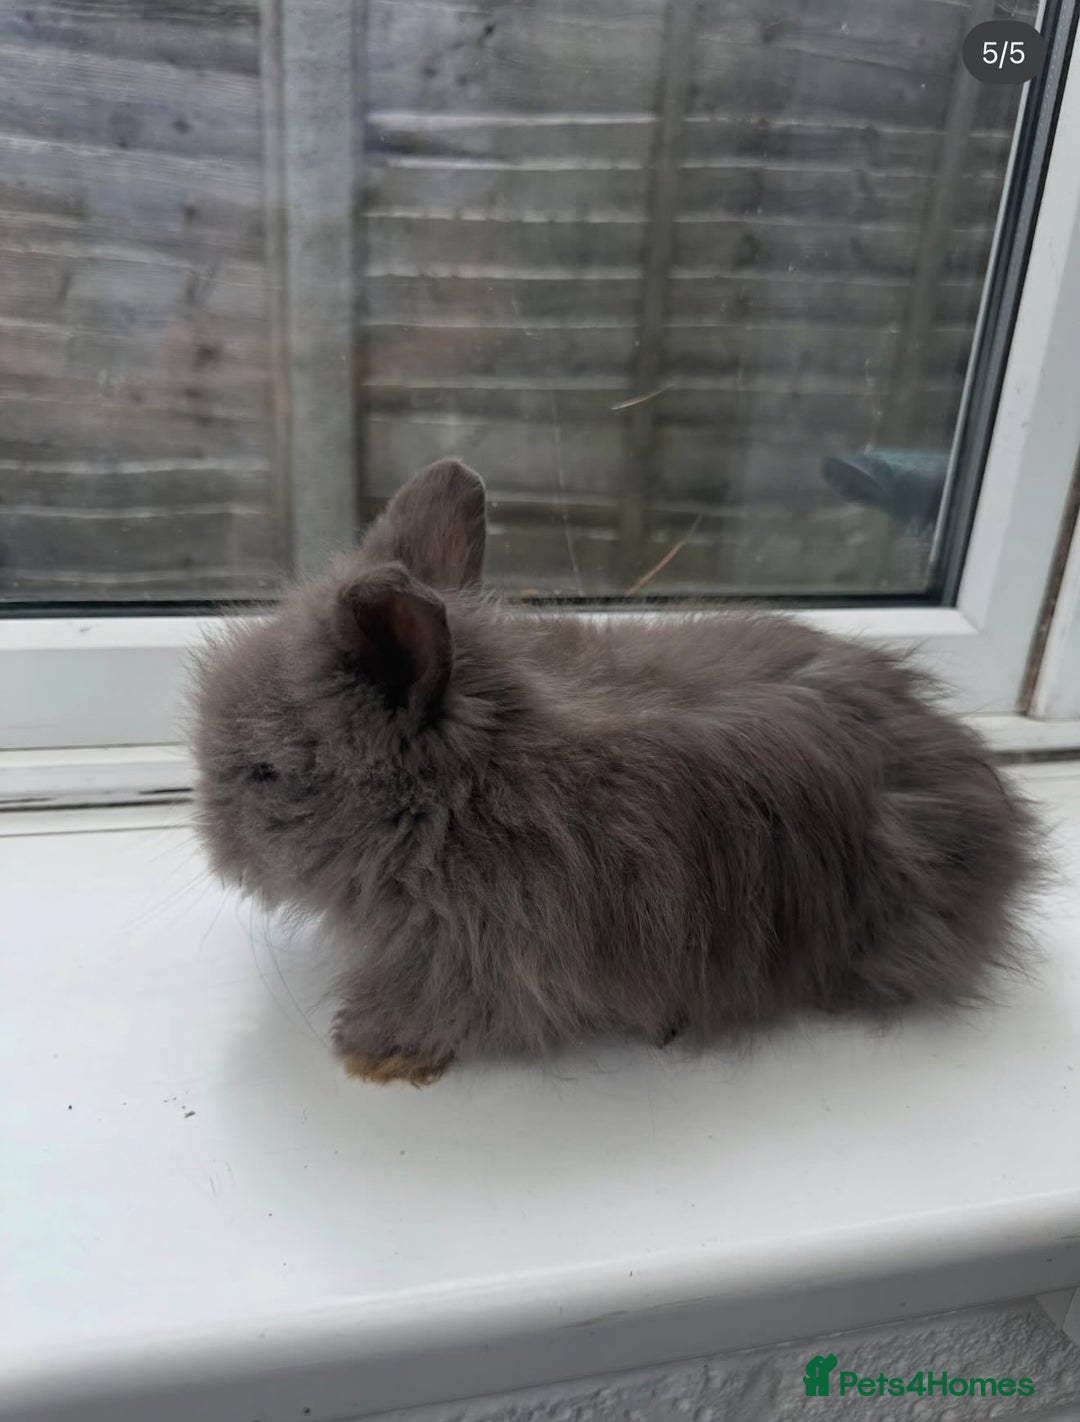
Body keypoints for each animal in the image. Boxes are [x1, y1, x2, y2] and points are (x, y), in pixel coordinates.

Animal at [192, 458, 1042, 1085]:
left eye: (264, 773)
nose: (215, 853)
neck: (465, 795)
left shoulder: (493, 953)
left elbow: (444, 1002)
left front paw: (371, 1047)